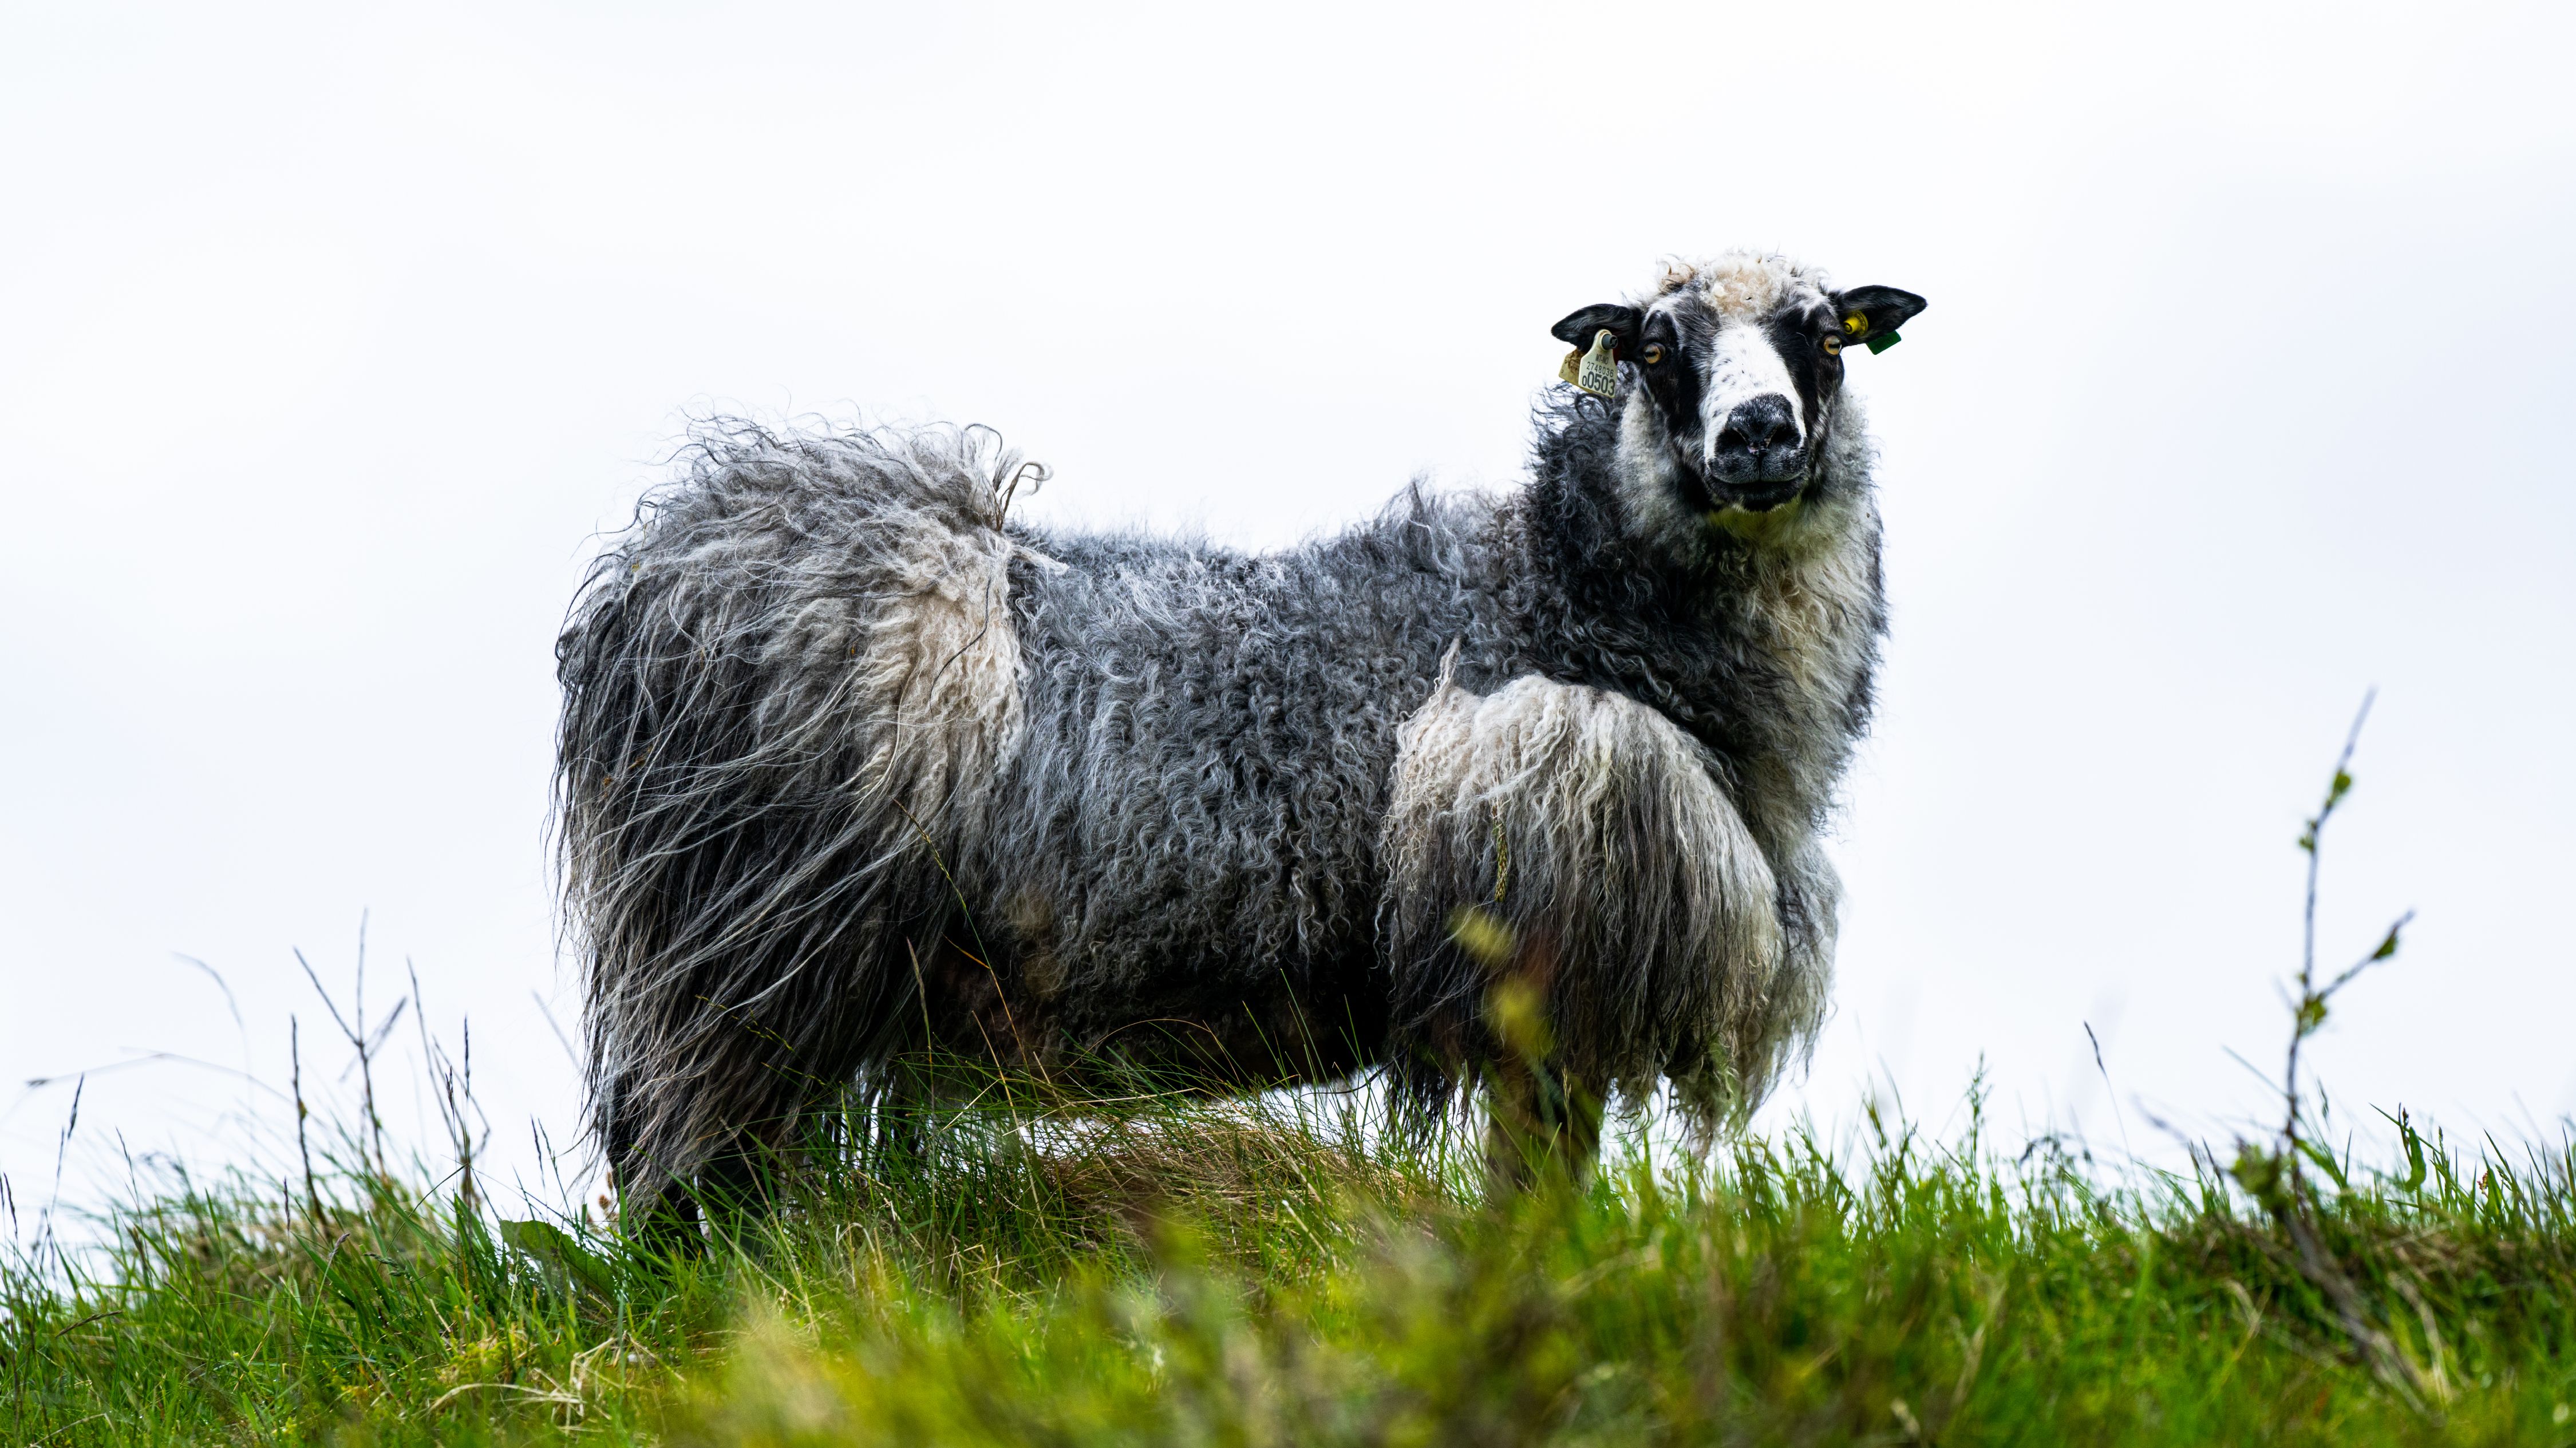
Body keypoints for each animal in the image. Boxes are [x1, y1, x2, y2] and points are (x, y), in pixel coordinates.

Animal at [555, 249, 1927, 1218]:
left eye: (1825, 337)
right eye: (1654, 344)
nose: (1759, 434)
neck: (1552, 595)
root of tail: (660, 572)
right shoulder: (1550, 948)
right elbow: (1533, 1191)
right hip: (746, 948)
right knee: (694, 1168)